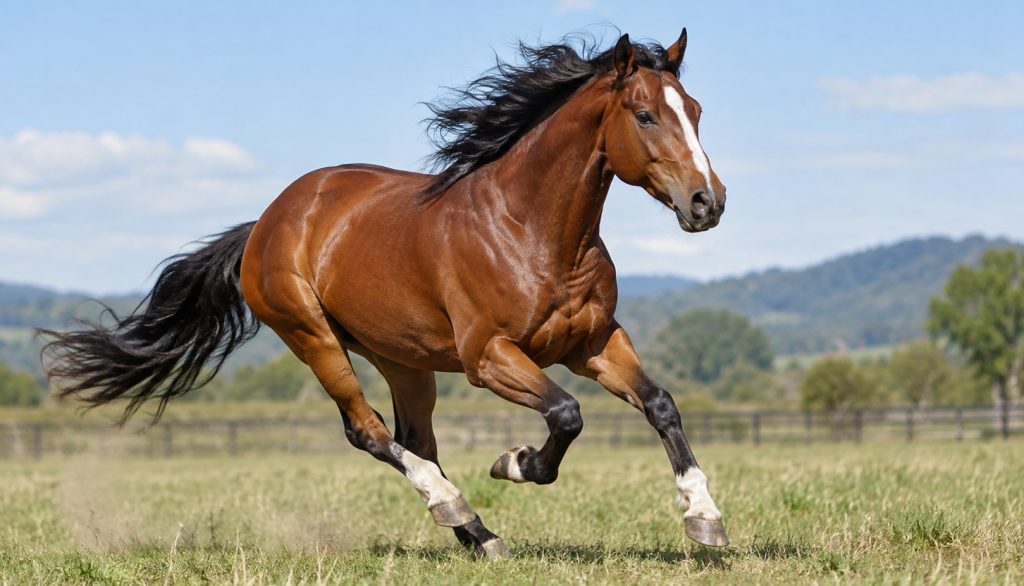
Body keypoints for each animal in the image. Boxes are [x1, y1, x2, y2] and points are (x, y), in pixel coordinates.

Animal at [40, 29, 729, 558]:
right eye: (644, 114)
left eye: (696, 111)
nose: (707, 203)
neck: (531, 229)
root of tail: (266, 223)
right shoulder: (489, 358)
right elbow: (566, 414)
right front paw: (513, 462)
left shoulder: (592, 343)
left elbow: (660, 404)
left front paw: (705, 519)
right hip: (314, 338)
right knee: (368, 432)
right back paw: (453, 506)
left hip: (403, 358)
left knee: (414, 436)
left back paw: (479, 536)